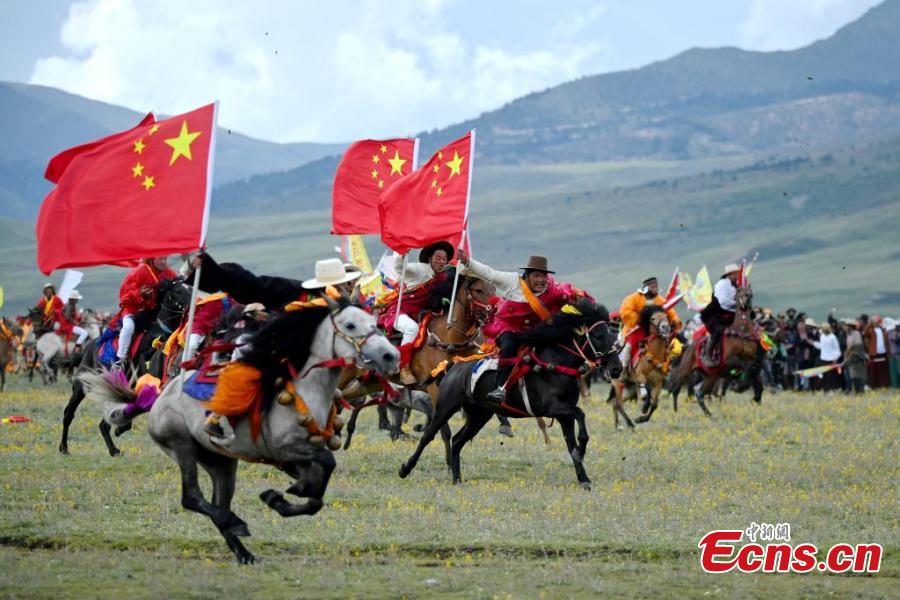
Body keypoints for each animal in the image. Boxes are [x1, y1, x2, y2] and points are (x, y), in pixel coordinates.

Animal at [58, 276, 192, 454]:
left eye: (191, 288)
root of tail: (88, 347)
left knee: (104, 424)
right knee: (69, 413)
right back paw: (64, 447)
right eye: (178, 291)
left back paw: (113, 449)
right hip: (81, 386)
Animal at [82, 296, 400, 564]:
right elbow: (326, 465)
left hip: (221, 463)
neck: (304, 390)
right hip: (183, 447)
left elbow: (317, 495)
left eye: (373, 323)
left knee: (214, 502)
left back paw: (243, 551)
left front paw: (283, 497)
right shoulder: (287, 448)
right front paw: (289, 493)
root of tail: (158, 398)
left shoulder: (303, 454)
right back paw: (236, 523)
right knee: (191, 497)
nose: (390, 356)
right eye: (350, 325)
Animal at [400, 302, 620, 490]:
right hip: (445, 407)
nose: (616, 369)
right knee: (429, 435)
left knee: (457, 440)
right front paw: (582, 452)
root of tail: (453, 365)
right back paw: (405, 469)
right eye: (598, 335)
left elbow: (572, 442)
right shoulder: (553, 407)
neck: (556, 365)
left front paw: (584, 477)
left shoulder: (563, 416)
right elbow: (581, 414)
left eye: (613, 335)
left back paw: (457, 479)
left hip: (479, 416)